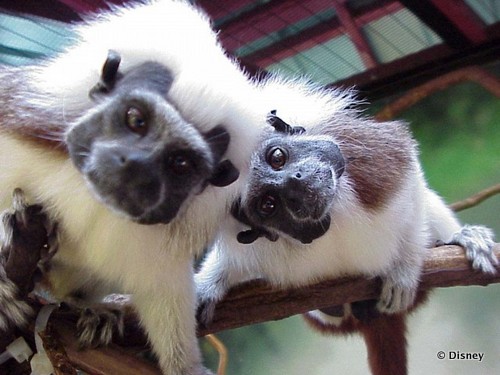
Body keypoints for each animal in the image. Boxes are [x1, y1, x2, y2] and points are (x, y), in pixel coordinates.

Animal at [0, 0, 268, 375]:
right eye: (136, 119)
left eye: (180, 163)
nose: (135, 164)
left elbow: (161, 289)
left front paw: (184, 366)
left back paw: (86, 306)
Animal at [197, 78, 498, 374]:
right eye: (268, 204)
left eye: (277, 157)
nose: (295, 183)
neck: (331, 214)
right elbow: (233, 262)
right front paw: (207, 287)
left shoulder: (369, 163)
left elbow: (409, 181)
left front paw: (403, 269)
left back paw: (462, 238)